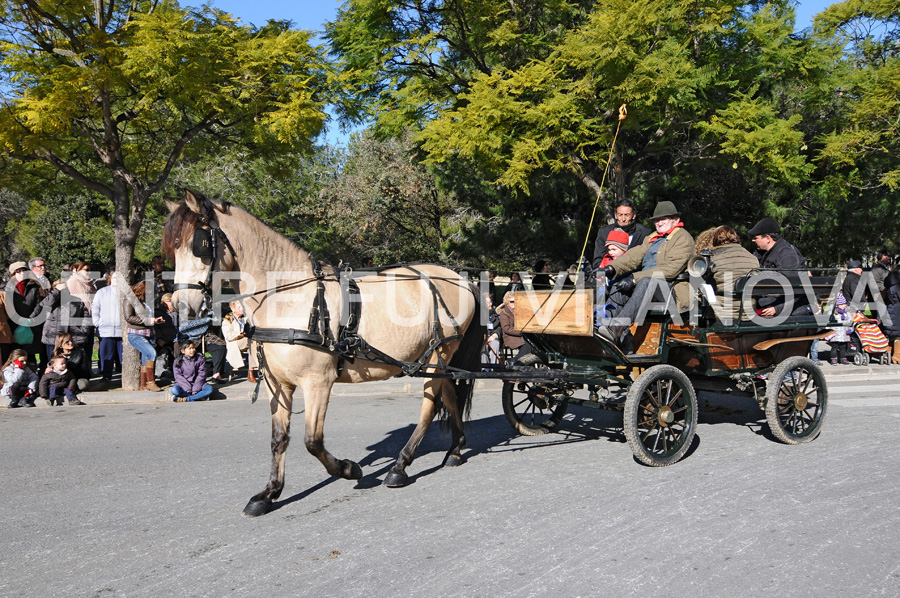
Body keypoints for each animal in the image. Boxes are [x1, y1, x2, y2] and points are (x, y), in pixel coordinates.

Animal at [162, 191, 486, 516]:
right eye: (173, 249)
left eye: (200, 244)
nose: (180, 306)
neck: (288, 297)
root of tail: (460, 278)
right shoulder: (277, 384)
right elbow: (279, 439)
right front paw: (269, 493)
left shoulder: (317, 381)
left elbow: (312, 441)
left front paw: (349, 469)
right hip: (440, 360)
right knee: (450, 394)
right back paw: (456, 450)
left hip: (437, 354)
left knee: (430, 407)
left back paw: (400, 466)